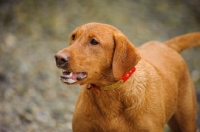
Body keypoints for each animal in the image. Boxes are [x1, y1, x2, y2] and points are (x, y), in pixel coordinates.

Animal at [54, 22, 198, 131]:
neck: (111, 96)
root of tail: (167, 45)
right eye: (73, 37)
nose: (59, 58)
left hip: (187, 121)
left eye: (94, 41)